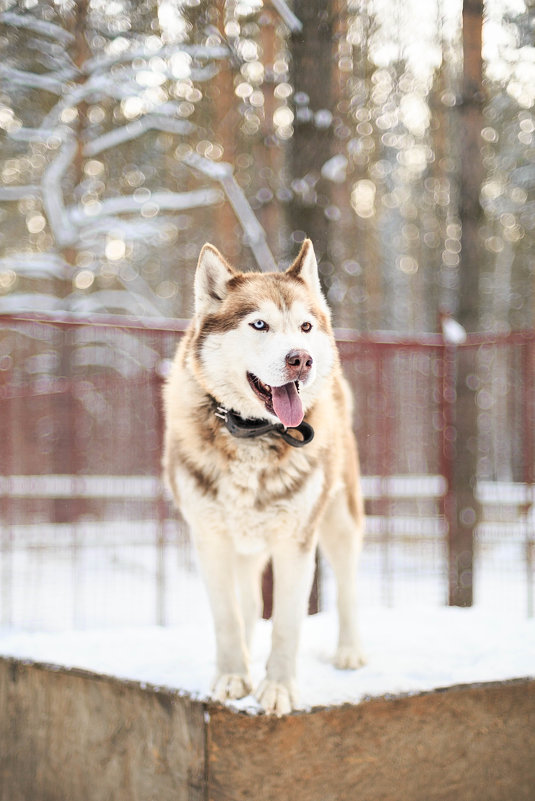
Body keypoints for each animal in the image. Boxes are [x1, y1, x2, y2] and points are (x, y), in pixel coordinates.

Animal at [163, 238, 364, 712]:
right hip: (246, 545)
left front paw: (277, 688)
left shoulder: (296, 542)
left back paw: (349, 651)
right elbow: (228, 617)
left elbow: (288, 625)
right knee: (250, 602)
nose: (301, 359)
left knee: (348, 584)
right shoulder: (211, 539)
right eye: (259, 324)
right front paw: (233, 676)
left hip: (340, 519)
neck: (252, 433)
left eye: (305, 326)